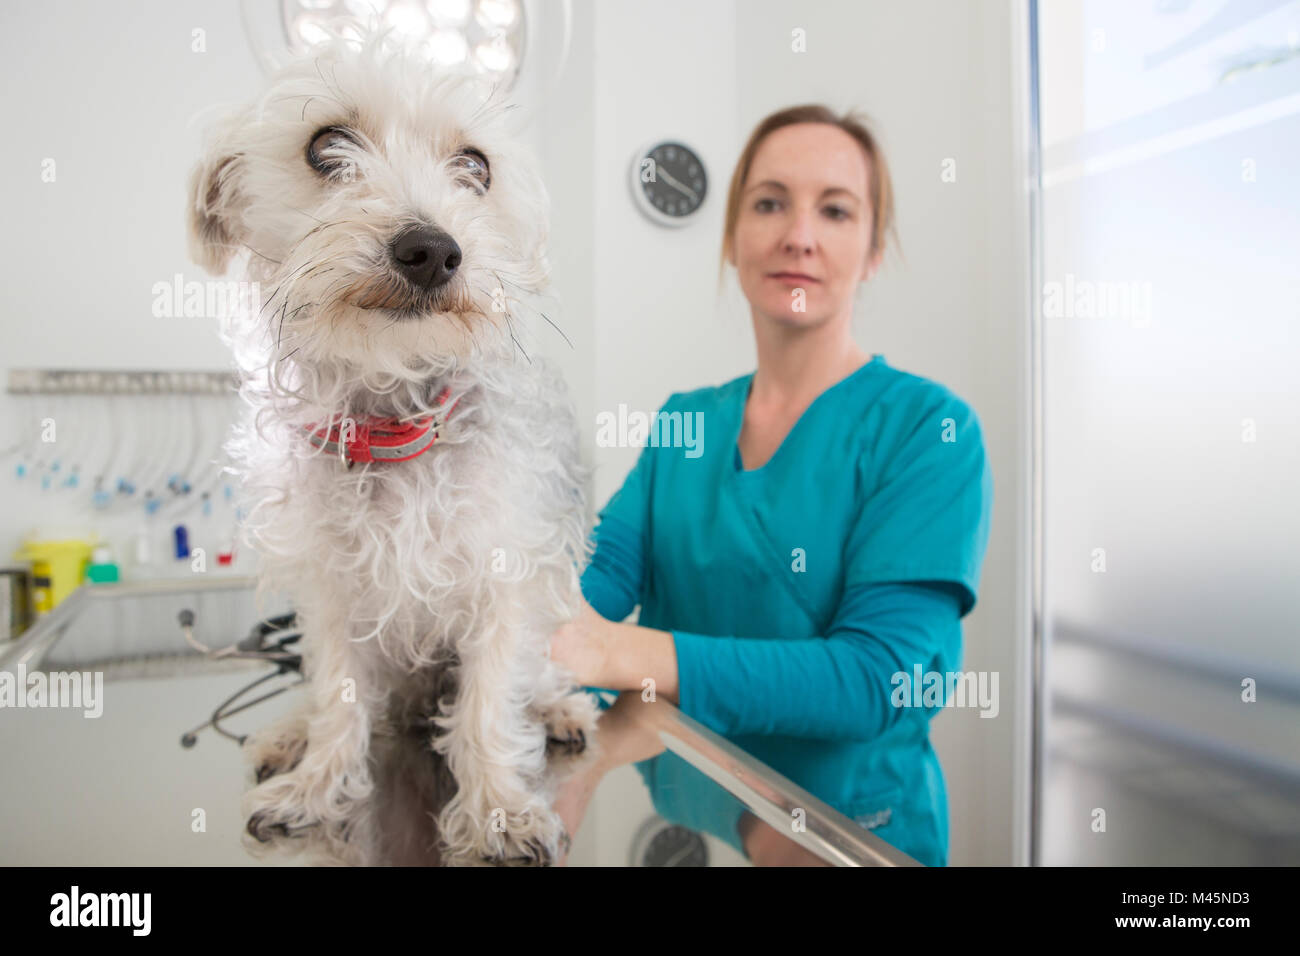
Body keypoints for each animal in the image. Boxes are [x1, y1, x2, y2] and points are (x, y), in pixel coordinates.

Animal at [187, 27, 598, 868]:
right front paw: (317, 785)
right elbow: (339, 695)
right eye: (326, 145)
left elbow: (487, 701)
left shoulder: (506, 575)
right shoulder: (333, 592)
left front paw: (498, 809)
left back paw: (560, 709)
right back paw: (288, 736)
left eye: (475, 164)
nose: (432, 249)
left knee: (531, 681)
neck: (394, 417)